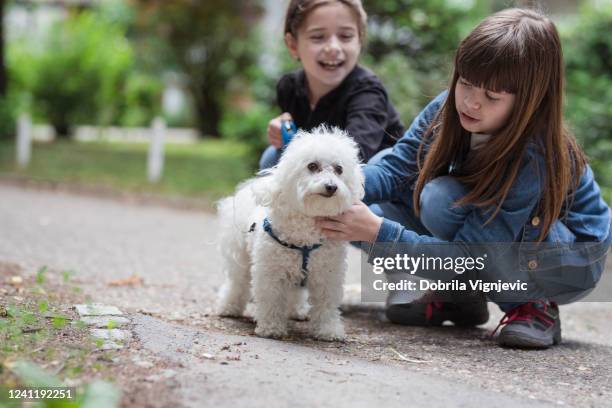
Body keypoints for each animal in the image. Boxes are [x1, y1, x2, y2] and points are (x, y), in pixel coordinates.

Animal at [216, 127, 364, 342]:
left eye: (339, 169)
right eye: (312, 166)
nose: (331, 187)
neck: (305, 237)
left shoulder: (327, 274)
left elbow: (326, 303)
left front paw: (328, 330)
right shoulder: (270, 271)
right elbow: (271, 300)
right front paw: (271, 328)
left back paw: (297, 311)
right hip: (241, 258)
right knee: (237, 282)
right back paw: (228, 307)